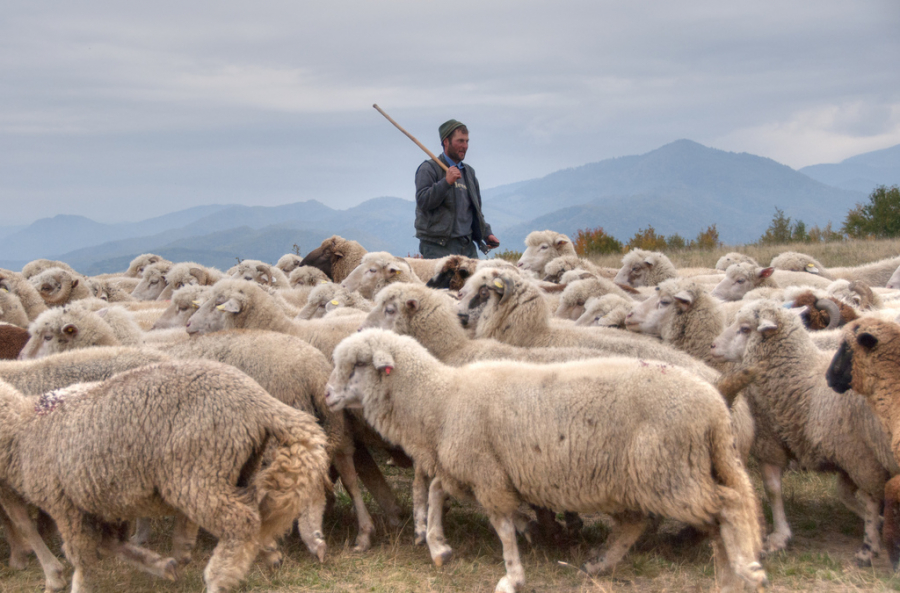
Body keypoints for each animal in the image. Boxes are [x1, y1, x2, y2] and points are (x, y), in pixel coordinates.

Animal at [0, 360, 330, 592]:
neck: (23, 429)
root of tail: (258, 401)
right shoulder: (99, 501)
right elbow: (111, 544)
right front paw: (163, 566)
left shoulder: (64, 505)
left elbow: (82, 556)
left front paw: (75, 584)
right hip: (235, 466)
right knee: (257, 509)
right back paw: (264, 553)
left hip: (199, 469)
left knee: (241, 521)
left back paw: (218, 580)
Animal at [324, 328, 768, 592]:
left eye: (358, 364)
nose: (326, 396)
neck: (439, 400)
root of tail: (715, 407)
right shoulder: (468, 467)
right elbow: (434, 491)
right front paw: (438, 547)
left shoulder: (486, 472)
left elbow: (501, 526)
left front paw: (512, 575)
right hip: (647, 475)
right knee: (647, 522)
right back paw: (606, 565)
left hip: (668, 472)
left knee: (728, 506)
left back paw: (744, 570)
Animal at [712, 300, 892, 560]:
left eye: (745, 328)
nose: (713, 345)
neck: (803, 377)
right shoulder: (781, 444)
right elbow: (780, 489)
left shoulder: (860, 456)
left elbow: (868, 497)